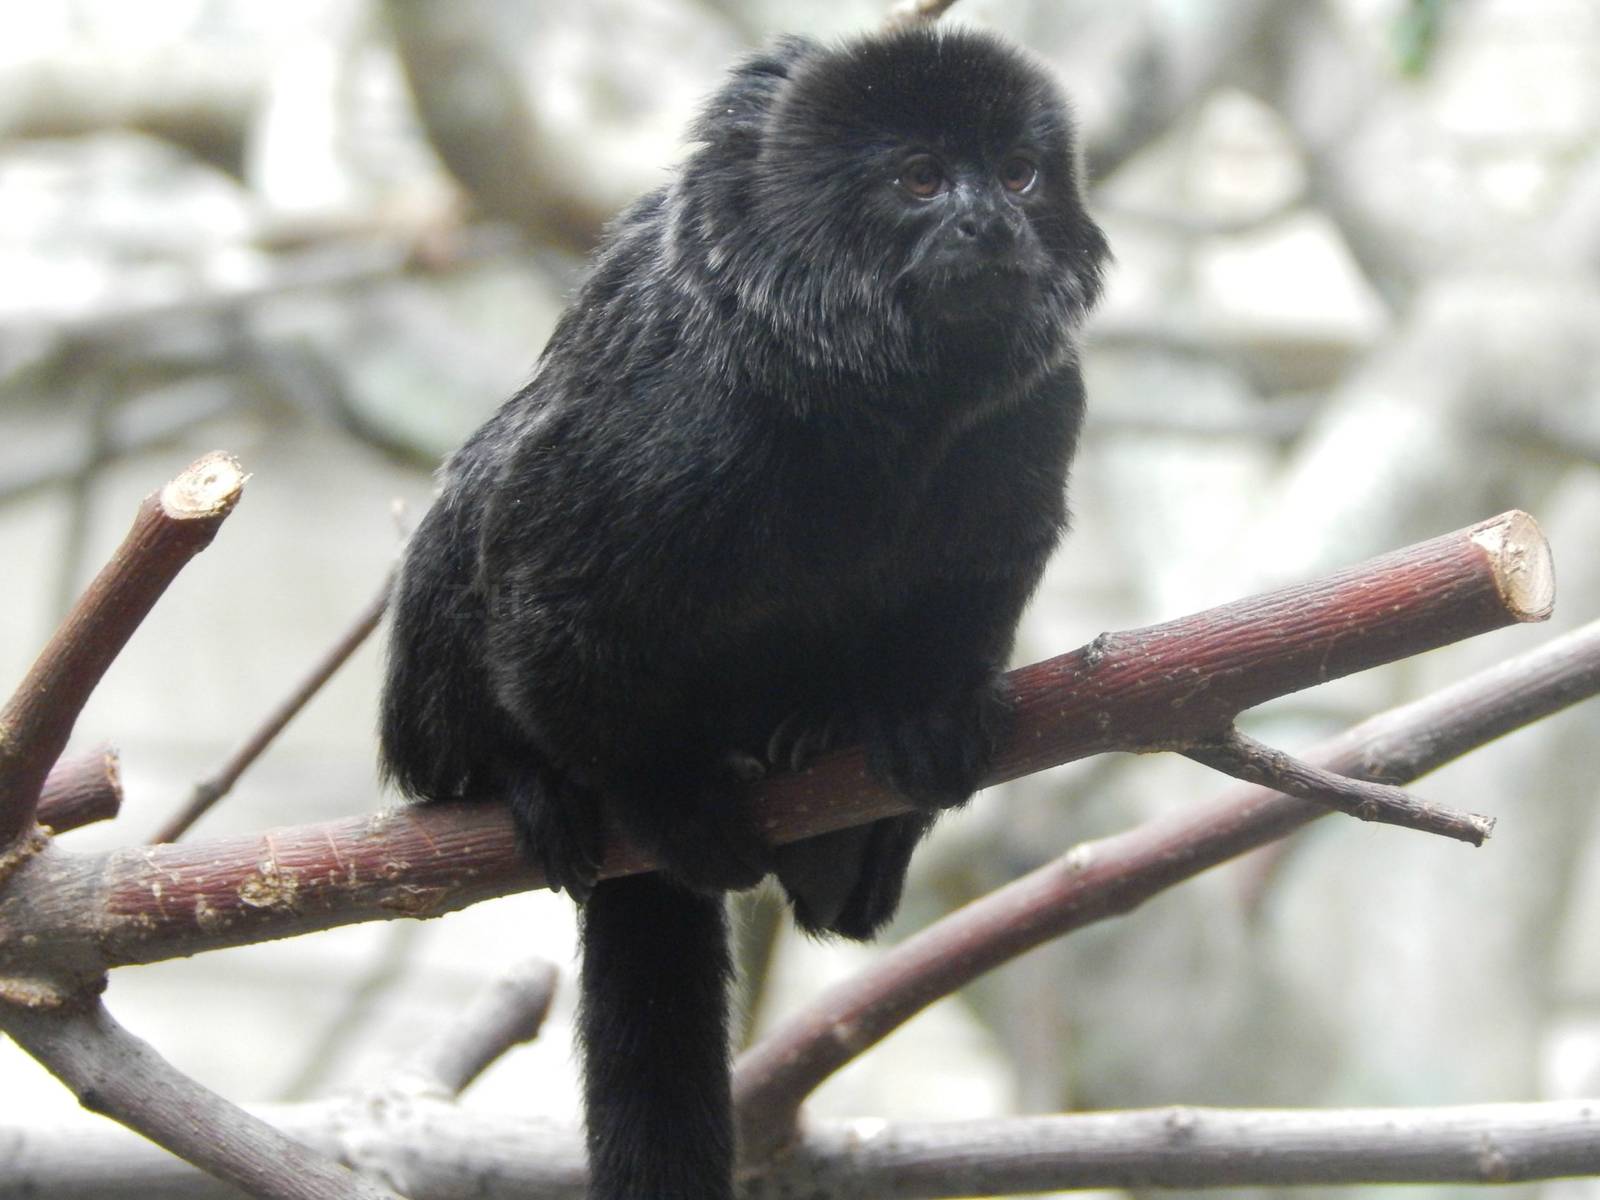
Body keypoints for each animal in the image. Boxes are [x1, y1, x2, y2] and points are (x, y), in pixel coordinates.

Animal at [379, 24, 1107, 1200]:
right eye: (919, 179)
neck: (877, 410)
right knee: (475, 506)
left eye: (1017, 175)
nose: (987, 224)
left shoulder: (1038, 412)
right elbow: (549, 610)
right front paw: (663, 800)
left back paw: (832, 795)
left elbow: (976, 583)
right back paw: (524, 782)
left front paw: (915, 722)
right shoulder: (668, 423)